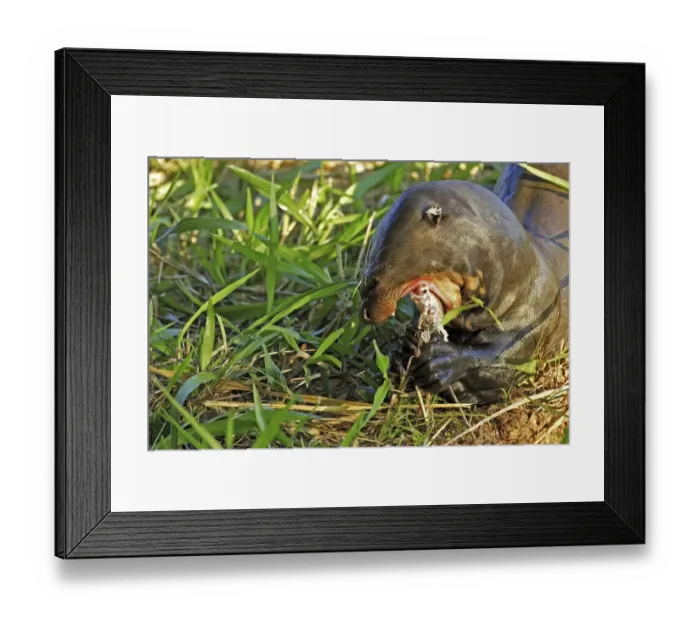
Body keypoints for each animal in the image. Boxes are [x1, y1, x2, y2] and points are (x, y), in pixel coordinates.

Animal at [359, 163, 569, 405]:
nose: (365, 313)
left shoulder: (536, 316)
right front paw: (404, 350)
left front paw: (444, 361)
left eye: (372, 283)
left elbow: (504, 361)